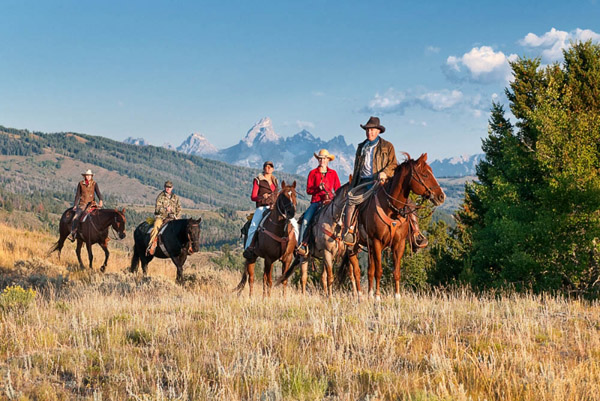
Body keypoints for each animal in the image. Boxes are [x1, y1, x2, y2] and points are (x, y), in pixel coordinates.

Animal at [344, 153, 442, 300]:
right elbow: (379, 271)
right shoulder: (377, 242)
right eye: (425, 175)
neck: (391, 208)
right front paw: (377, 298)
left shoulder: (399, 243)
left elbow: (396, 272)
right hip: (352, 247)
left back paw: (369, 295)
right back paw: (360, 296)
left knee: (369, 270)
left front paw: (397, 298)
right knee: (356, 271)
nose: (441, 196)